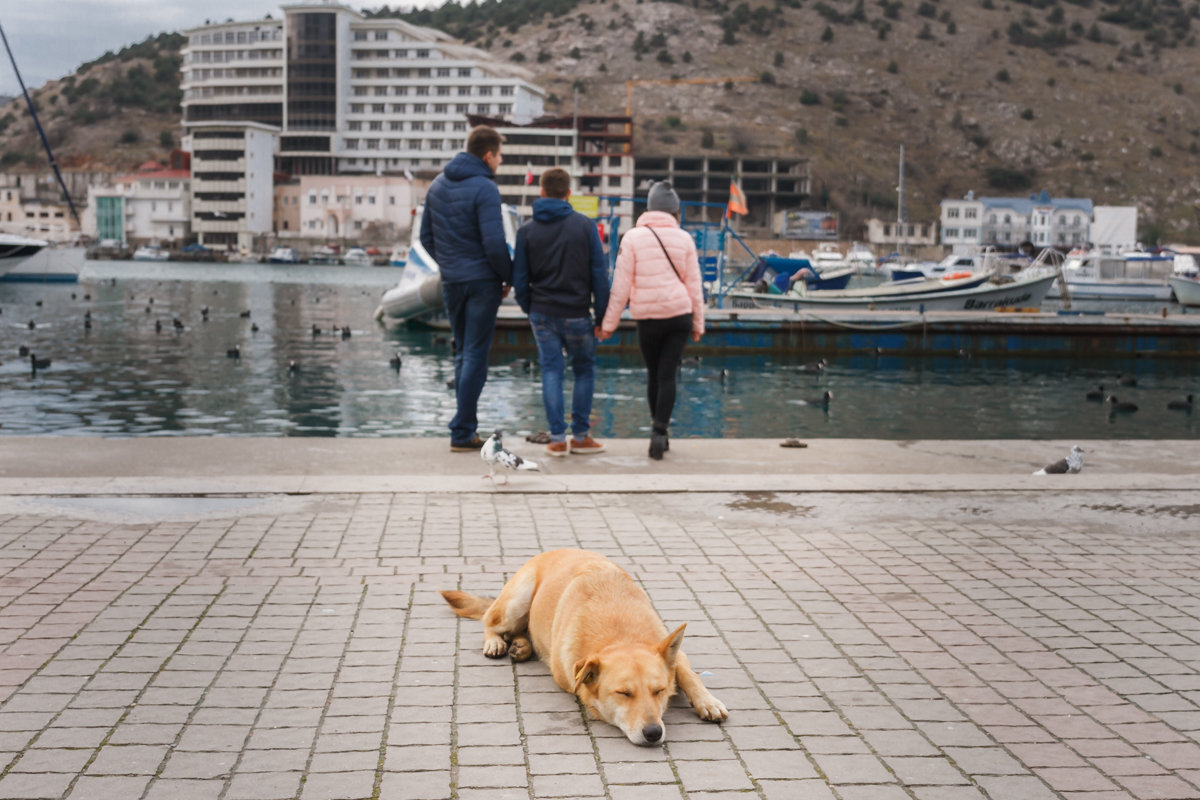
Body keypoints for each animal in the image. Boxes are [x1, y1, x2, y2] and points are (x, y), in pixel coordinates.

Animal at [439, 551, 724, 743]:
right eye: (623, 693)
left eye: (659, 691)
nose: (653, 732)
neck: (620, 633)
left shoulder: (676, 654)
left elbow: (689, 675)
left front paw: (707, 701)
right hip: (516, 601)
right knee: (490, 621)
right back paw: (496, 641)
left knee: (521, 630)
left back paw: (521, 645)